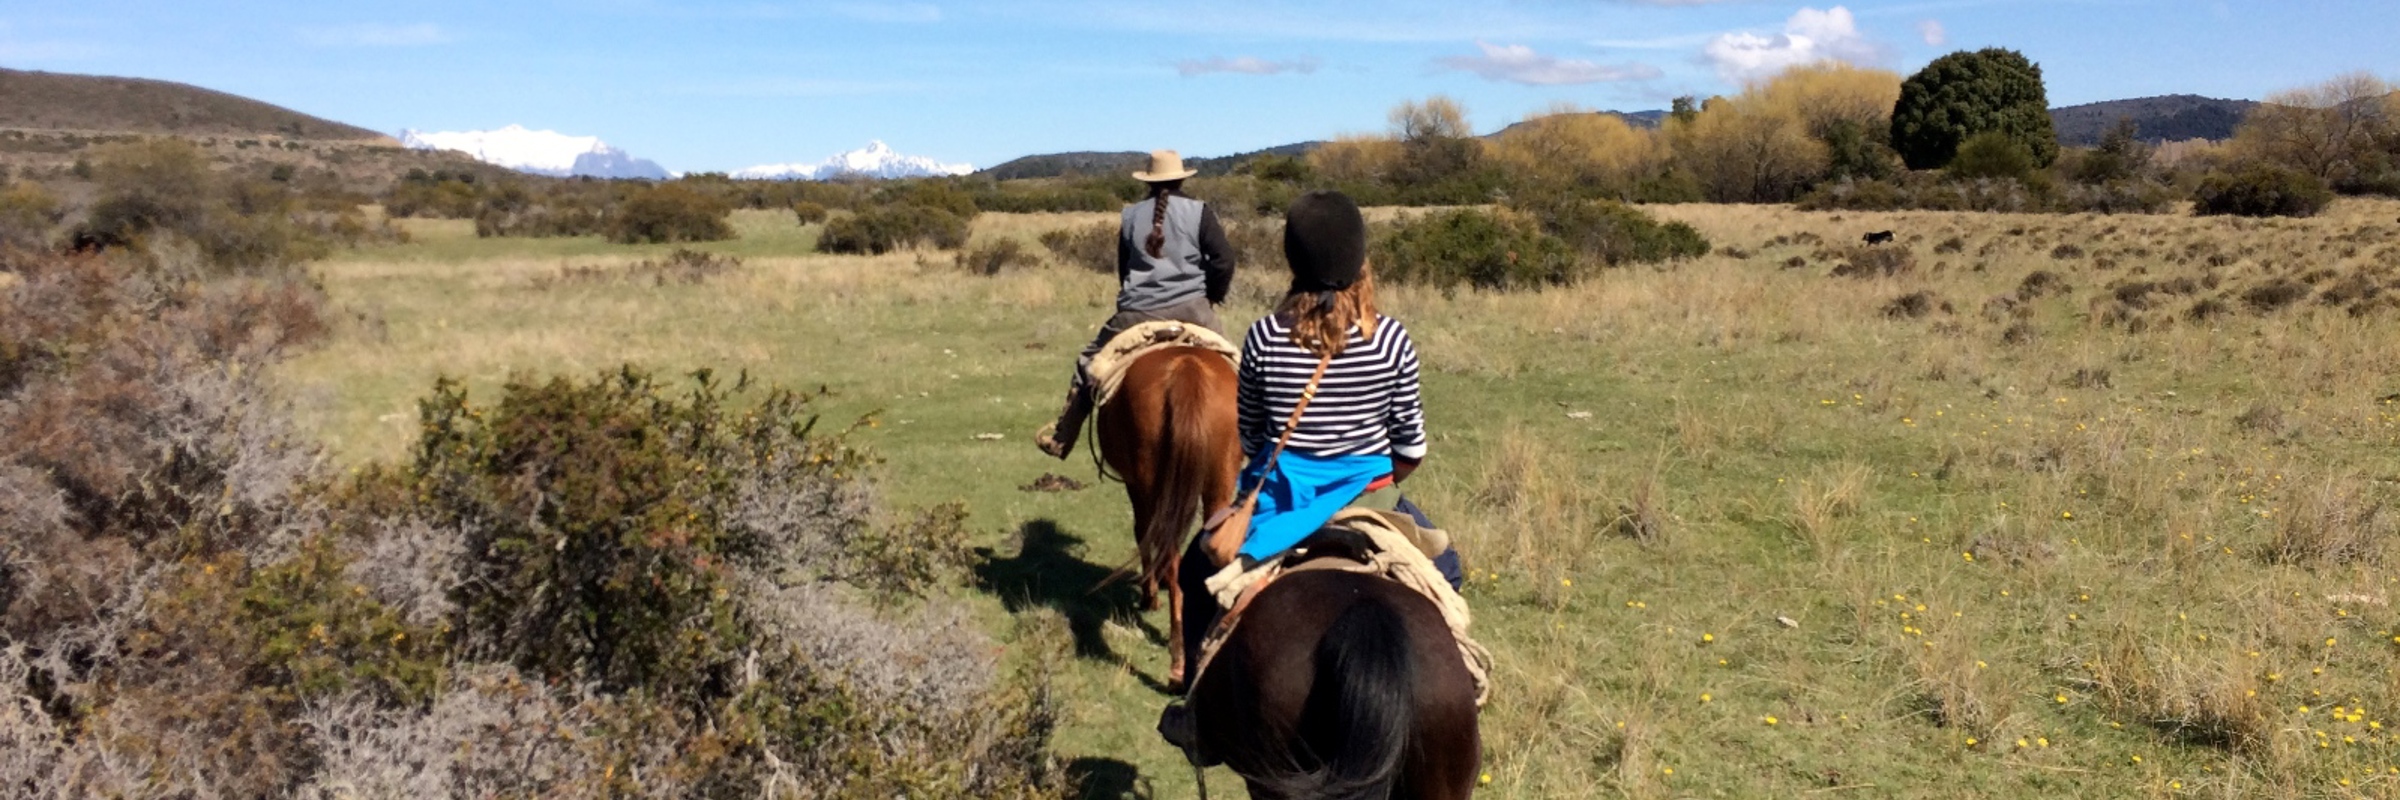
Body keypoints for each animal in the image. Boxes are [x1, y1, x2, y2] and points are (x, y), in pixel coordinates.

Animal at [1093, 344, 1241, 690]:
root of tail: (1187, 368)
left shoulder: (1136, 486)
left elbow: (1142, 532)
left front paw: (1149, 595)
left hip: (1150, 482)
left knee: (1168, 552)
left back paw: (1177, 658)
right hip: (1219, 481)